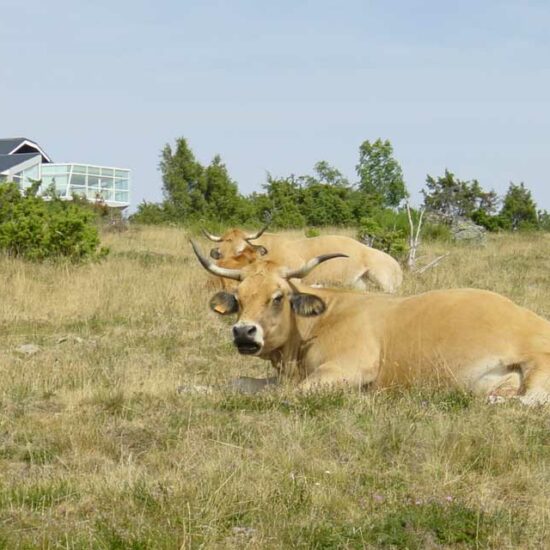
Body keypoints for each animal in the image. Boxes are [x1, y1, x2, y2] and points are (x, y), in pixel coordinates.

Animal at [192, 242, 550, 406]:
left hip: (538, 367)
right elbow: (240, 382)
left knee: (528, 401)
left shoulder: (348, 368)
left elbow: (286, 395)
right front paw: (196, 388)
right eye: (238, 298)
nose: (243, 332)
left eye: (278, 297)